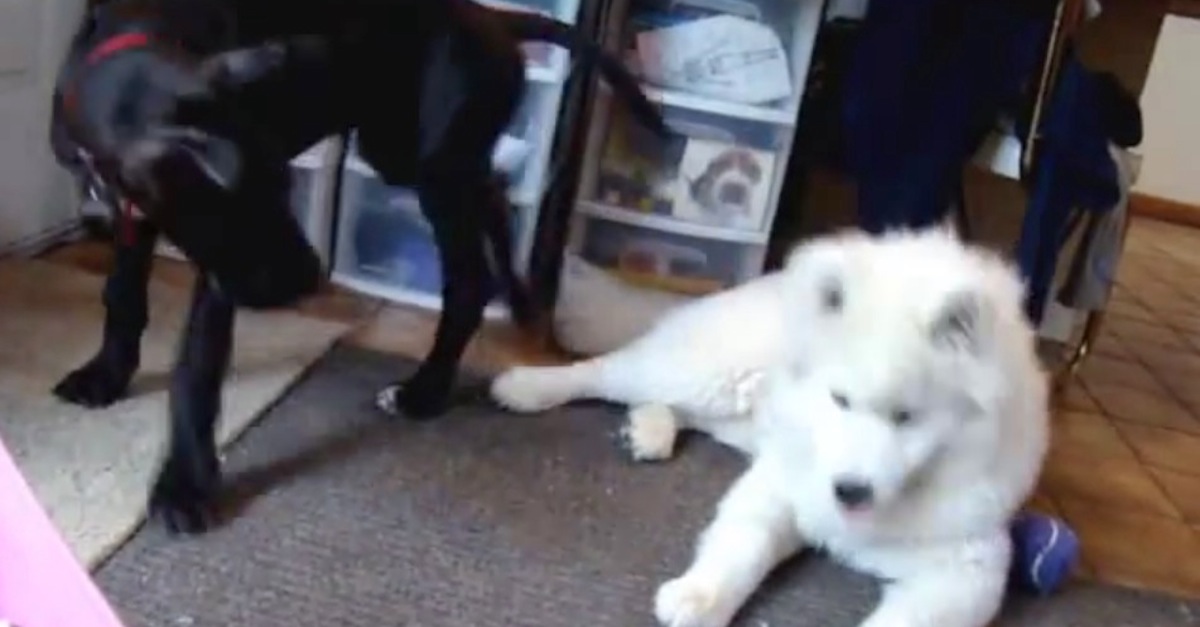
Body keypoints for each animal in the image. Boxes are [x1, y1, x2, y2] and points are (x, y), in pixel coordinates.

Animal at [51, 0, 662, 530]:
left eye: (284, 187)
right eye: (236, 211)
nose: (308, 280)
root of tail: (492, 18)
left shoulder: (217, 277)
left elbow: (196, 368)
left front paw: (184, 486)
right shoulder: (139, 216)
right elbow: (123, 297)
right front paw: (106, 374)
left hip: (425, 162)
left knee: (469, 277)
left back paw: (425, 392)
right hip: (416, 155)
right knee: (493, 190)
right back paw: (516, 294)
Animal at [492, 228, 1046, 624]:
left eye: (906, 417)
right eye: (840, 400)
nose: (850, 491)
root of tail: (768, 279)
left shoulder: (964, 572)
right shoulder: (780, 486)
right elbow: (742, 547)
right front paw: (699, 598)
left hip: (732, 410)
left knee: (671, 405)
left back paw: (649, 429)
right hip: (702, 369)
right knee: (606, 370)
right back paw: (525, 385)